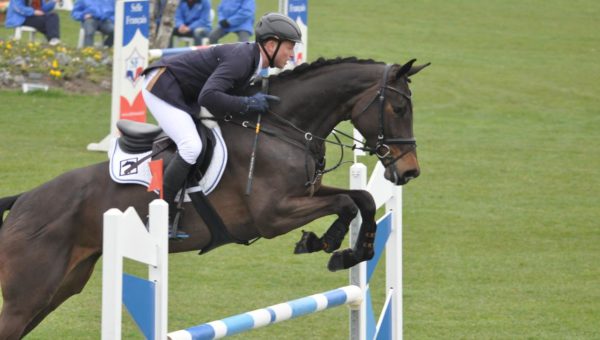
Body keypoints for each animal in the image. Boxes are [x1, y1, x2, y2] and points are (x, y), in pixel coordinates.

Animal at [1, 57, 432, 338]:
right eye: (398, 107)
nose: (409, 171)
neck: (283, 129)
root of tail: (23, 202)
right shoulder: (273, 215)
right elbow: (345, 203)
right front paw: (326, 244)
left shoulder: (306, 193)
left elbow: (360, 199)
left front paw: (345, 249)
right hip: (28, 295)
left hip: (59, 289)